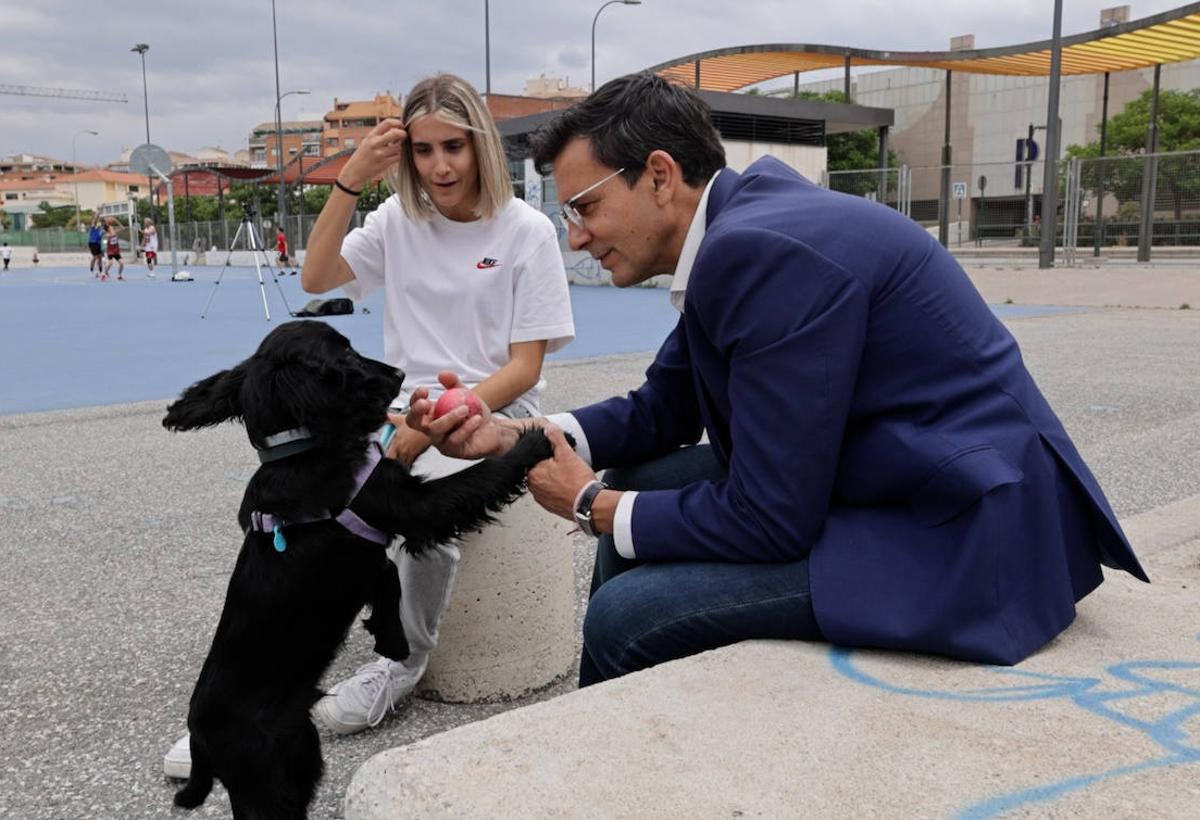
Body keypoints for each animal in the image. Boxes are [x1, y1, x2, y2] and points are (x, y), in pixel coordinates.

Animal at [163, 321, 552, 820]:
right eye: (344, 355)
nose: (400, 374)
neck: (299, 453)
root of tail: (199, 736)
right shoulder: (413, 507)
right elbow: (476, 480)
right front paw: (533, 440)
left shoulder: (377, 550)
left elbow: (388, 582)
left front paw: (392, 638)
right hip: (263, 780)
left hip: (301, 755)